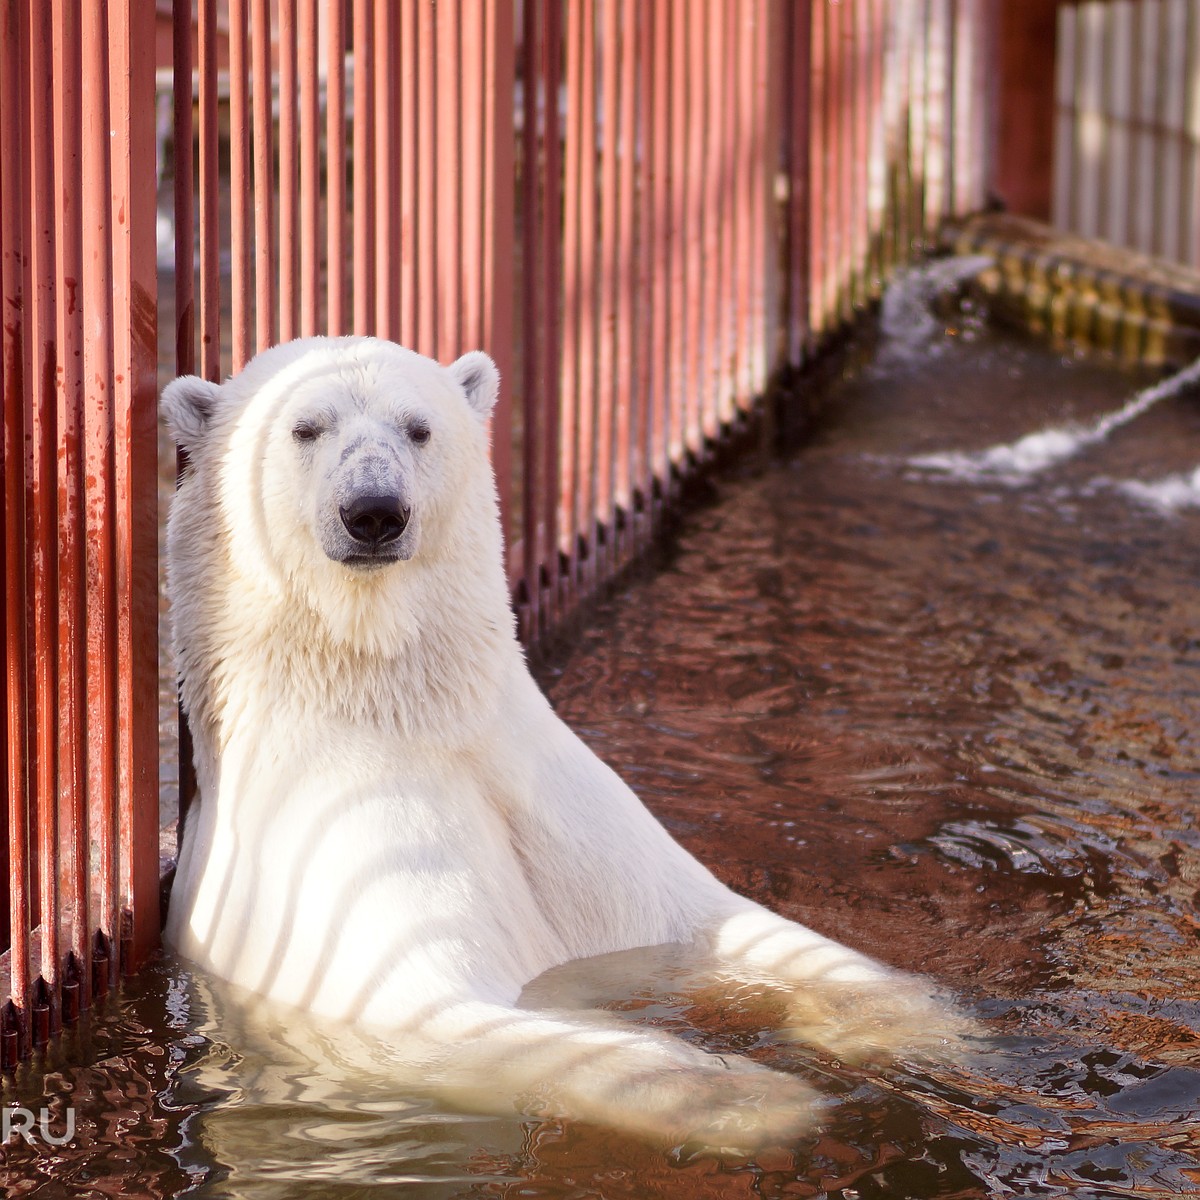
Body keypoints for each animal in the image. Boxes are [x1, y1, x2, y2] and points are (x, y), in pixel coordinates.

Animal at [162, 333, 964, 1147]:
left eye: (419, 427)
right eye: (306, 428)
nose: (375, 512)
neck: (407, 712)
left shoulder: (564, 806)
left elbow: (714, 918)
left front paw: (908, 1022)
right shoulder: (341, 888)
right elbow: (446, 1011)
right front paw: (758, 1098)